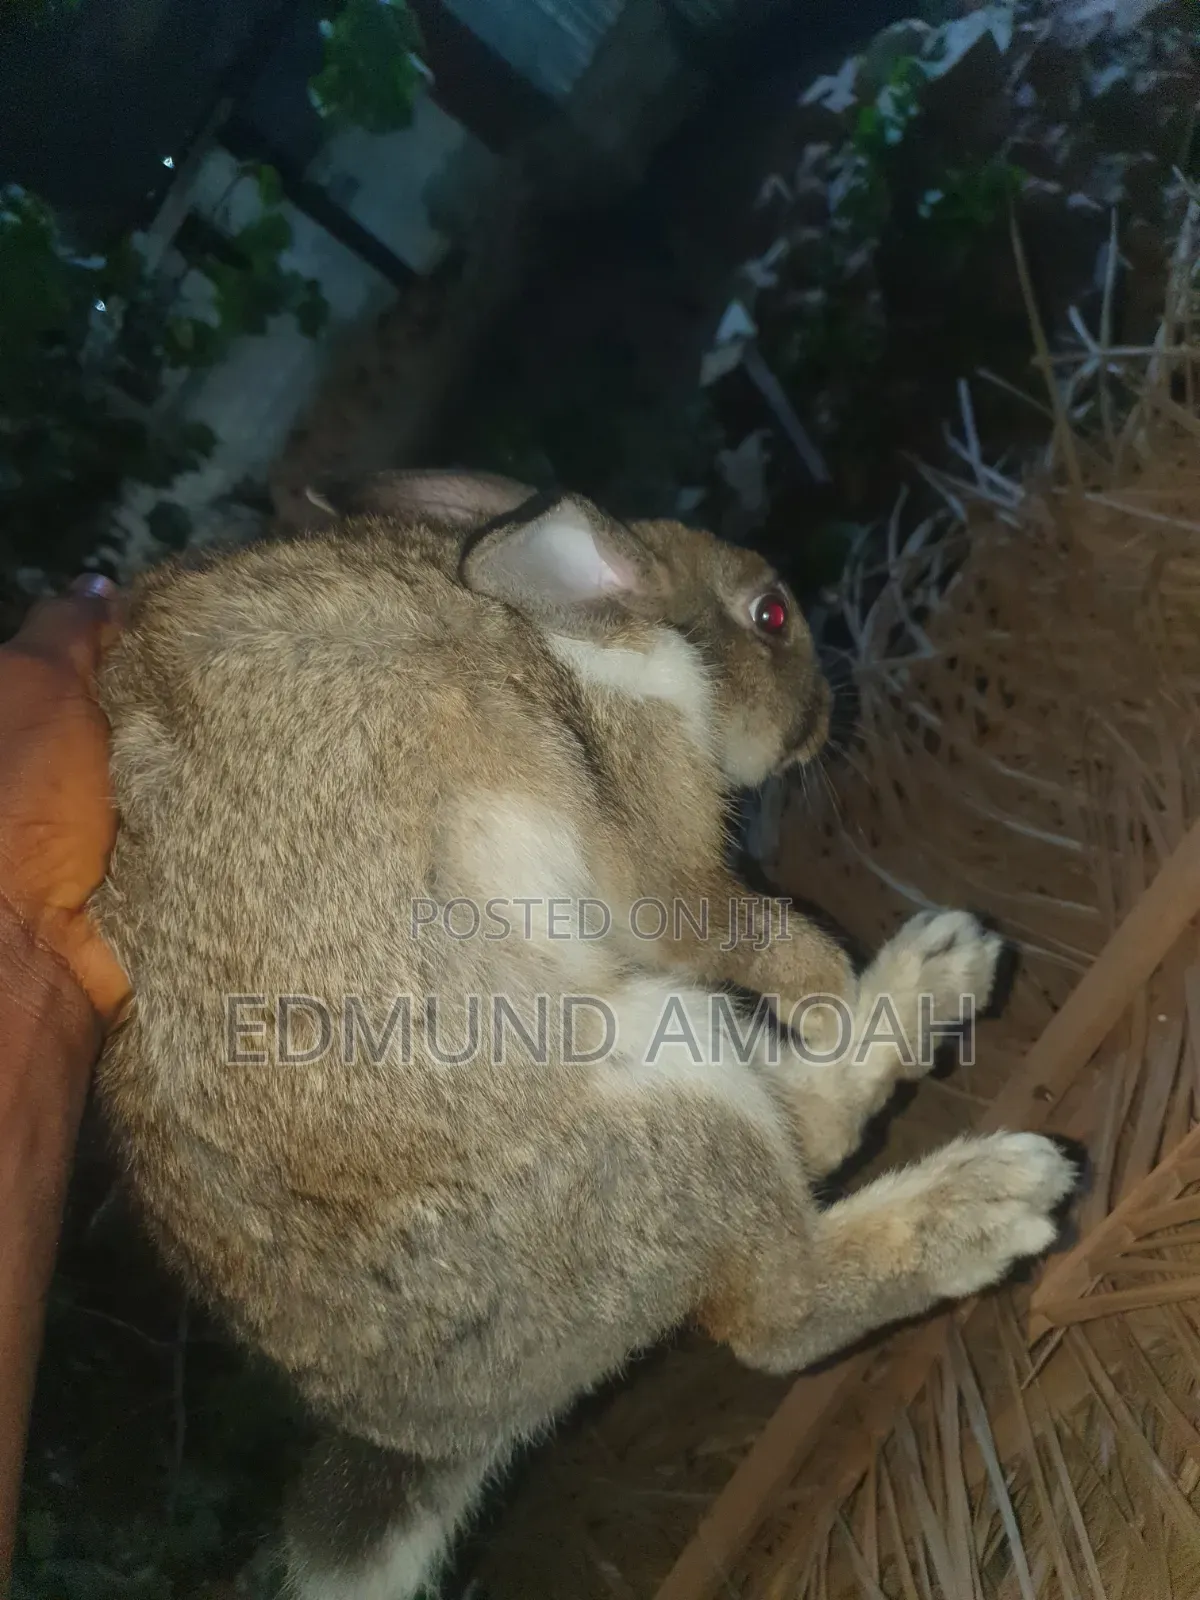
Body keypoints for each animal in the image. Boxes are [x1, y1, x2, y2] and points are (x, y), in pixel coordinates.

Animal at [92, 469, 1084, 1600]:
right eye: (770, 615)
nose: (824, 718)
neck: (581, 632)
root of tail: (441, 1421)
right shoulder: (658, 851)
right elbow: (736, 925)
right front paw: (827, 988)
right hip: (670, 1085)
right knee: (777, 1308)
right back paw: (997, 1192)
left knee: (812, 1138)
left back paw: (943, 970)